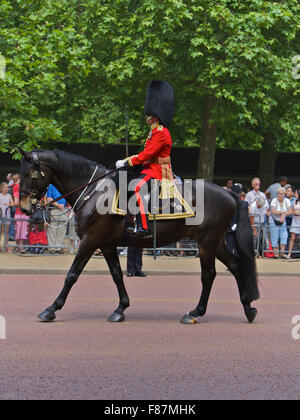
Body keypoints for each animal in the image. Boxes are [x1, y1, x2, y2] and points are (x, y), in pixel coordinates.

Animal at [18, 149, 258, 324]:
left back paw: (195, 312)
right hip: (215, 242)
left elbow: (72, 275)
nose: (25, 208)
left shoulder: (90, 241)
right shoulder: (106, 244)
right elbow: (117, 275)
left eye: (29, 174)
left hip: (206, 242)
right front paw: (121, 308)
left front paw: (51, 309)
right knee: (236, 265)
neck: (94, 192)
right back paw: (248, 308)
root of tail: (229, 193)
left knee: (209, 275)